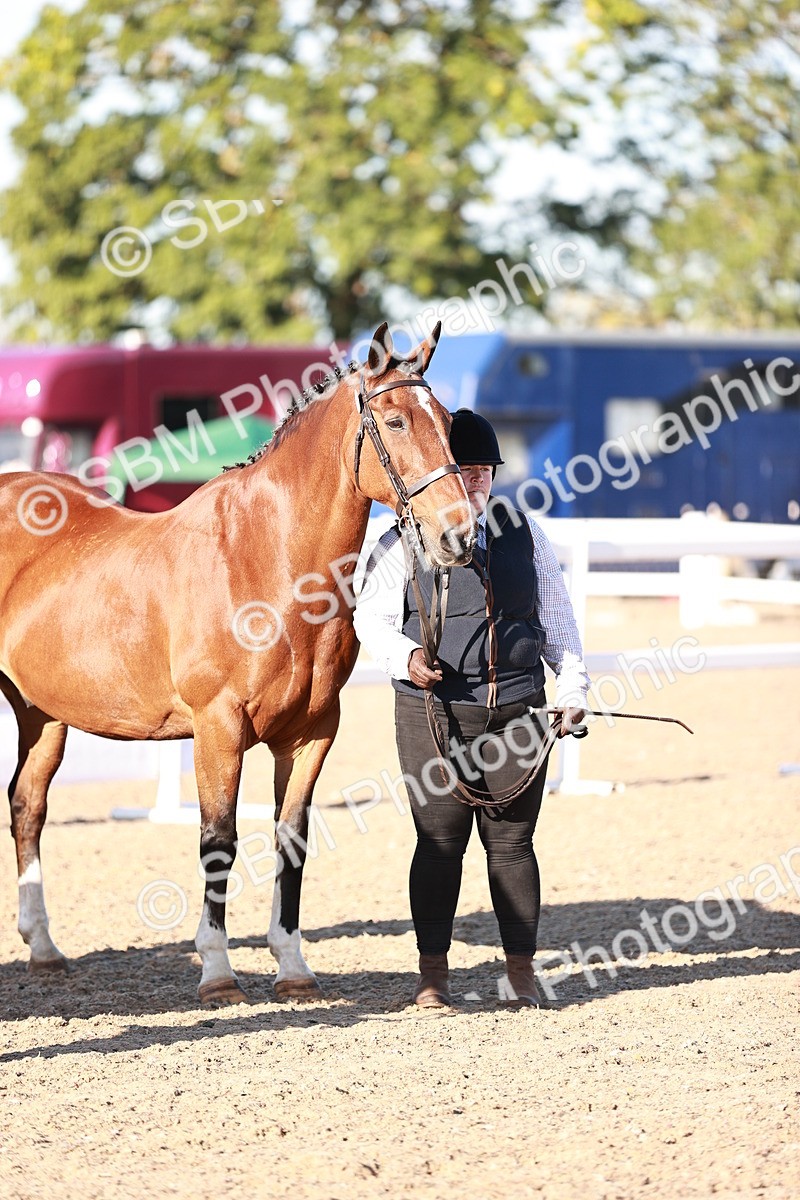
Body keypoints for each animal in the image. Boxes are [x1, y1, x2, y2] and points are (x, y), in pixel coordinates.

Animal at [0, 322, 475, 1005]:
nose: (459, 535)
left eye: (446, 420)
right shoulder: (218, 728)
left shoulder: (311, 733)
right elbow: (217, 842)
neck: (265, 557)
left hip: (42, 713)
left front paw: (293, 967)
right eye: (394, 420)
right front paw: (218, 973)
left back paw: (43, 949)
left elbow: (291, 839)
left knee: (28, 804)